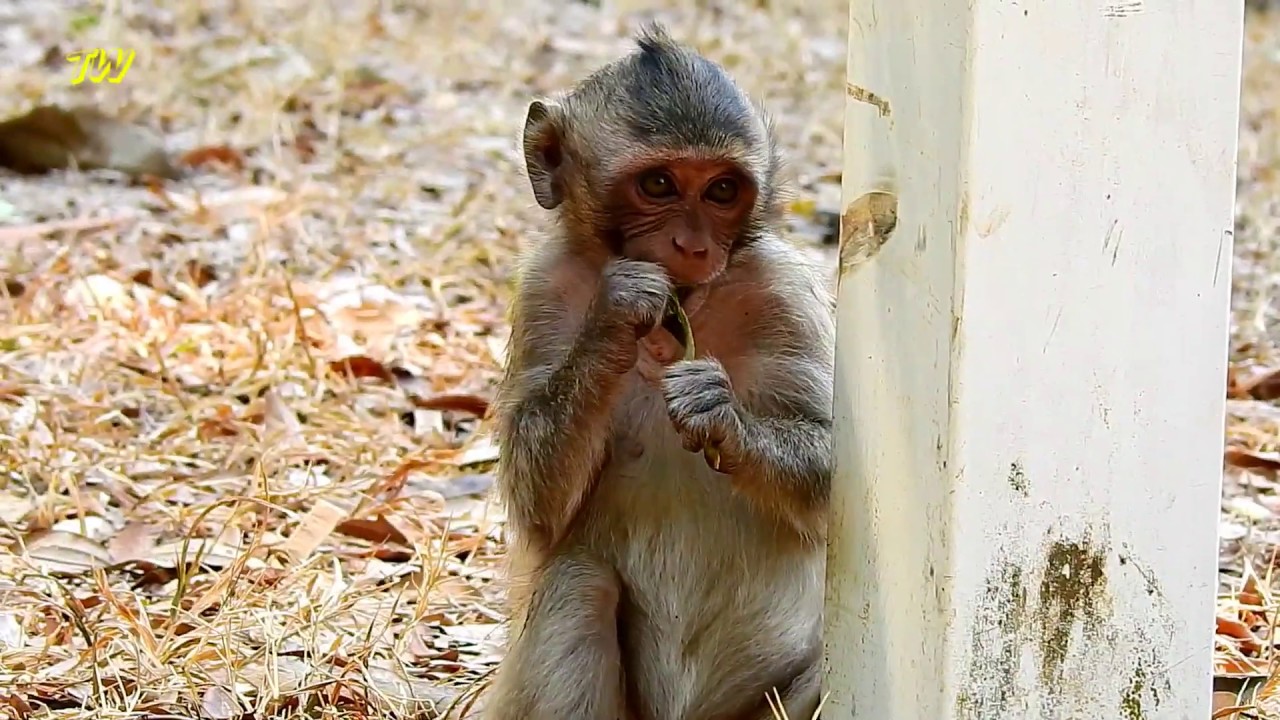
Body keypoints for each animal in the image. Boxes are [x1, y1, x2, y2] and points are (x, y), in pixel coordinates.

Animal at [483, 22, 835, 720]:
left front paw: (721, 414)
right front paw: (614, 317)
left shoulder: (783, 290)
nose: (692, 246)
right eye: (659, 185)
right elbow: (539, 510)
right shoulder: (544, 289)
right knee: (578, 584)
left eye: (722, 191)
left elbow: (832, 474)